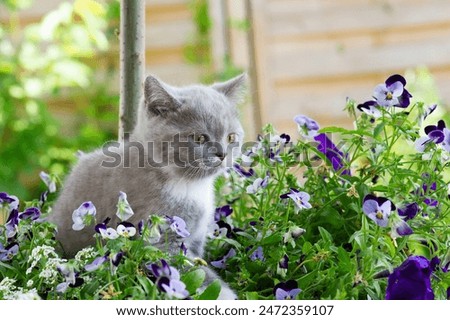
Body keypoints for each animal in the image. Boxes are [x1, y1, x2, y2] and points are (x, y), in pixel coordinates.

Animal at [49, 74, 246, 298]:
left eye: (231, 137)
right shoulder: (158, 240)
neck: (189, 185)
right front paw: (226, 295)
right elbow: (192, 271)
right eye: (199, 138)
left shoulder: (195, 238)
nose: (222, 154)